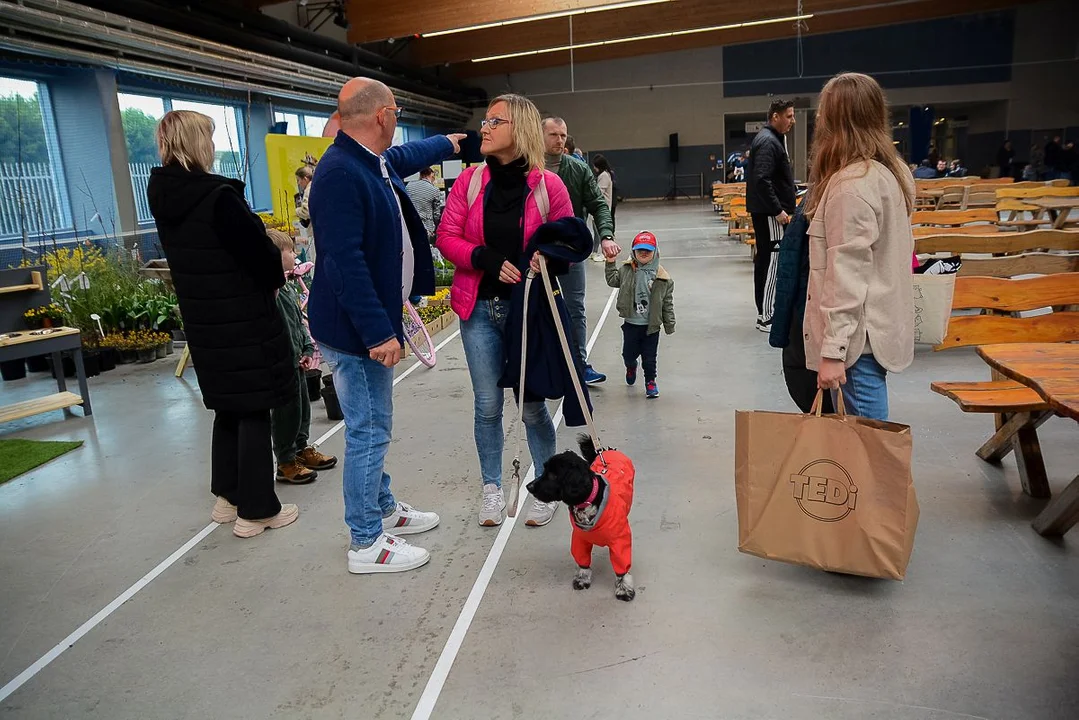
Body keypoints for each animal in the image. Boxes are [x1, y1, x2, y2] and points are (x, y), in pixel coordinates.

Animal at [526, 436, 634, 600]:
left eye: (553, 475)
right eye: (544, 470)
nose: (529, 486)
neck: (588, 501)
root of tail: (607, 451)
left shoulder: (619, 540)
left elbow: (622, 566)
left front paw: (624, 589)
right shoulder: (579, 538)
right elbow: (582, 561)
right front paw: (582, 579)